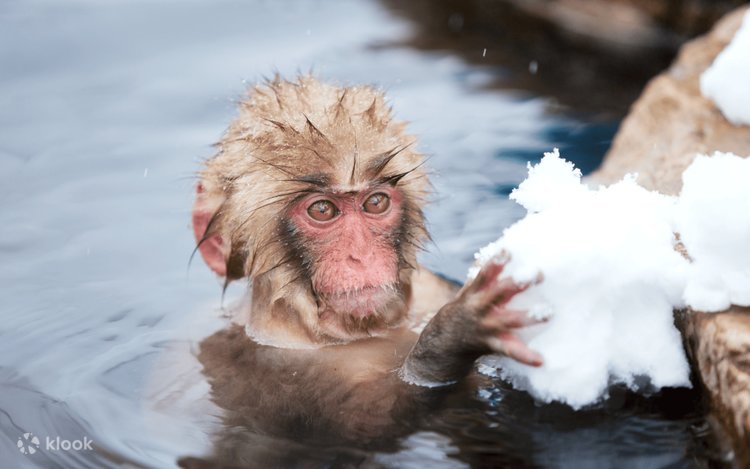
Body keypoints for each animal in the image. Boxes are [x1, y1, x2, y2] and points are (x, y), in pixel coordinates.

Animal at [182, 76, 543, 467]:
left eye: (376, 202)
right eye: (322, 210)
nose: (361, 255)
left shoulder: (427, 289)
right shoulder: (274, 362)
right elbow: (367, 426)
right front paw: (452, 336)